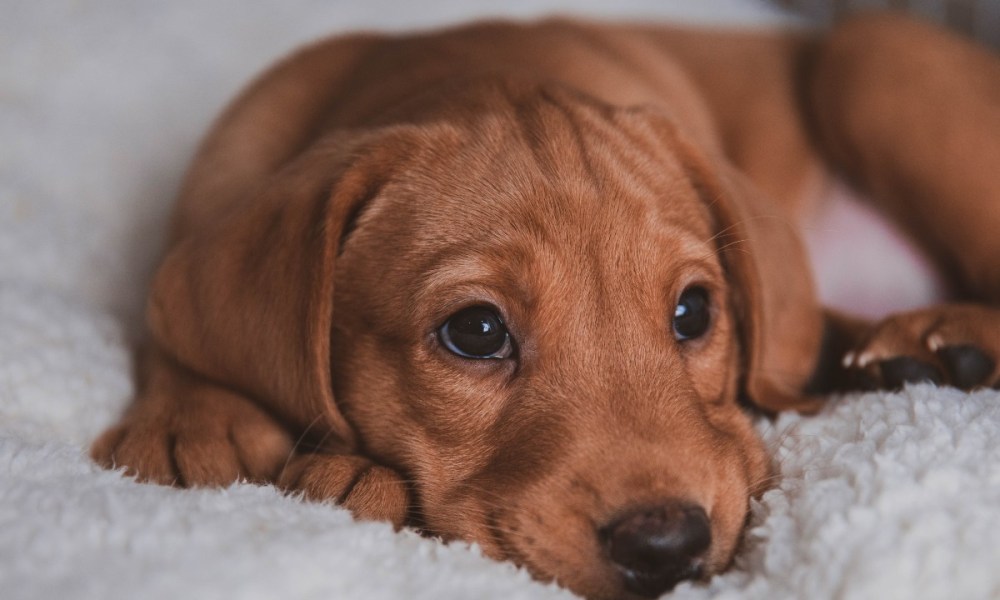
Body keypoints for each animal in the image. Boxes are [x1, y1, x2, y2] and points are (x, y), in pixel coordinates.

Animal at [92, 11, 1000, 600]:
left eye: (694, 313)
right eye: (476, 331)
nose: (665, 547)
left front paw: (339, 466)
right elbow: (170, 328)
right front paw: (192, 419)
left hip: (872, 53)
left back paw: (941, 337)